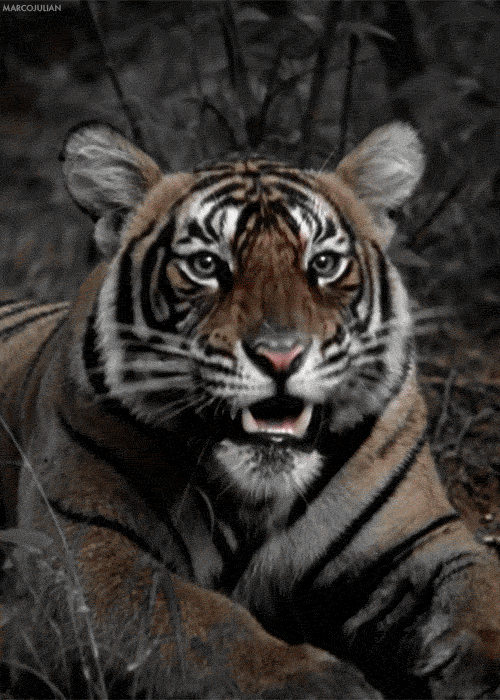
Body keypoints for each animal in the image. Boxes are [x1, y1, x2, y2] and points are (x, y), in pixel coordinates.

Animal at [1, 121, 500, 699]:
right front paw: (318, 683)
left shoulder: (421, 542)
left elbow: (481, 596)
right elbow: (194, 620)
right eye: (206, 265)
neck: (254, 501)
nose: (280, 355)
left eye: (324, 264)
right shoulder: (78, 553)